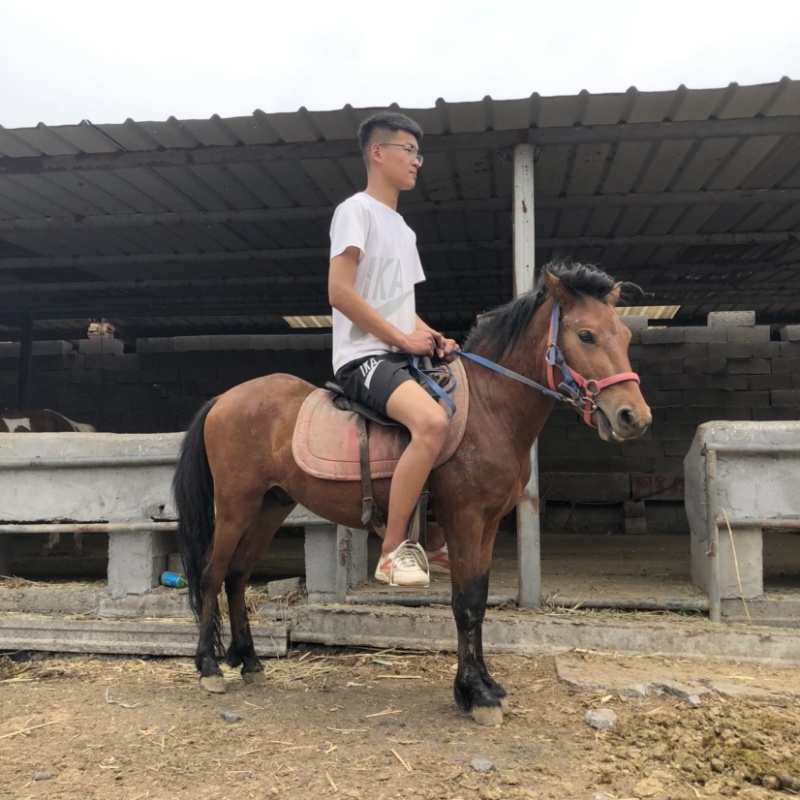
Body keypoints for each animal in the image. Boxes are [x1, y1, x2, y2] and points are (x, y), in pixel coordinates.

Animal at [172, 260, 652, 725]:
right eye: (585, 334)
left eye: (626, 335)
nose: (635, 418)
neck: (490, 408)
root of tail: (222, 400)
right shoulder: (464, 518)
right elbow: (466, 602)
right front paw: (475, 694)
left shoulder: (488, 524)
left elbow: (478, 599)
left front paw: (483, 685)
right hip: (235, 507)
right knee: (211, 574)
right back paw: (209, 667)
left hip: (270, 506)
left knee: (237, 576)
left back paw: (249, 660)